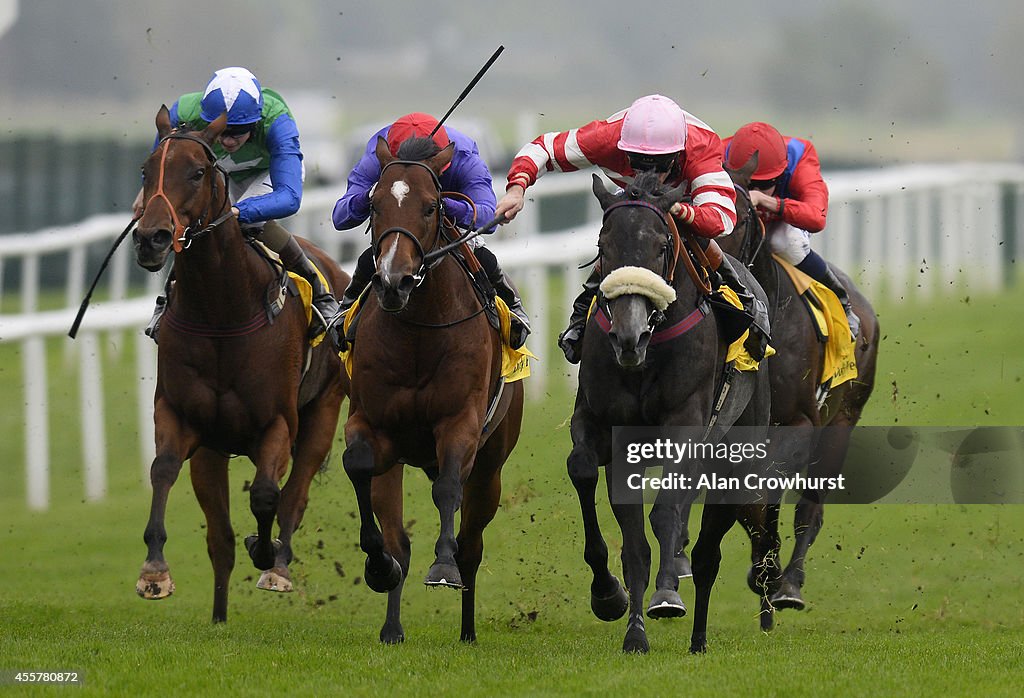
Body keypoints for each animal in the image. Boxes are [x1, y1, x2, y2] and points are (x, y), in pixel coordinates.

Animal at [132, 107, 350, 618]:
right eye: (146, 171)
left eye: (196, 172)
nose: (151, 238)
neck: (220, 311)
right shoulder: (180, 416)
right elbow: (162, 469)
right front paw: (155, 570)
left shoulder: (277, 423)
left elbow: (269, 494)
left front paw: (267, 551)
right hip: (212, 451)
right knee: (221, 541)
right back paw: (218, 614)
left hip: (324, 411)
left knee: (296, 492)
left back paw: (278, 564)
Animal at [342, 133, 524, 638]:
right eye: (374, 205)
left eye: (430, 207)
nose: (393, 281)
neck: (418, 332)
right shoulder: (373, 425)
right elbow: (357, 465)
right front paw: (378, 566)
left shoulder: (460, 424)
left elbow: (446, 490)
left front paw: (443, 567)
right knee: (398, 539)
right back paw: (391, 625)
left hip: (492, 466)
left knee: (471, 543)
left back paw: (467, 630)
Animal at [569, 170, 774, 650]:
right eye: (604, 246)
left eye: (662, 245)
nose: (629, 336)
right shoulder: (607, 429)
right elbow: (593, 483)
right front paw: (617, 607)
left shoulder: (685, 425)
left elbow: (664, 513)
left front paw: (665, 596)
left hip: (739, 439)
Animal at [716, 153, 884, 609]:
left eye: (741, 218)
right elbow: (748, 500)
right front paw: (762, 567)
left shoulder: (800, 424)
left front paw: (773, 573)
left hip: (842, 421)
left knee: (810, 508)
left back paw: (790, 582)